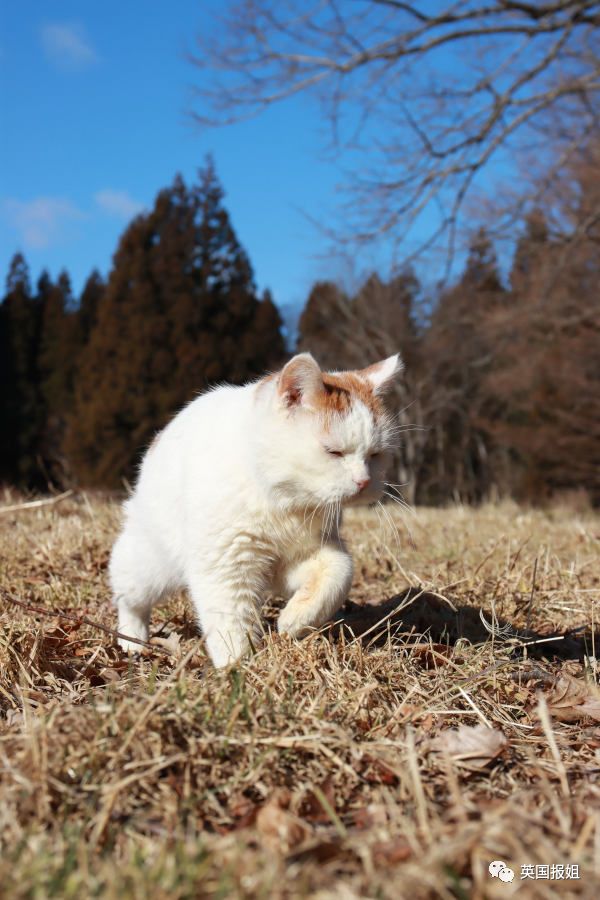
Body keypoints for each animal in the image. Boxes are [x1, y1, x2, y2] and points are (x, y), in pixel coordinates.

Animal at [111, 352, 404, 668]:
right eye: (333, 452)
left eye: (375, 455)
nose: (364, 481)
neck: (284, 504)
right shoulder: (227, 564)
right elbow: (232, 624)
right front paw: (239, 670)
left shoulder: (299, 557)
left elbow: (339, 572)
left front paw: (294, 620)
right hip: (149, 565)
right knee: (128, 596)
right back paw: (132, 641)